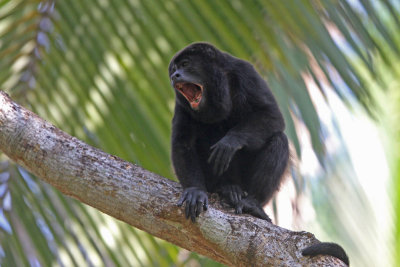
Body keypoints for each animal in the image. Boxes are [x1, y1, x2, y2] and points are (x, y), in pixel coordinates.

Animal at [170, 43, 350, 266]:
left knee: (279, 140)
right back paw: (226, 188)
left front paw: (231, 141)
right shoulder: (181, 105)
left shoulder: (246, 73)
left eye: (186, 64)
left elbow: (272, 115)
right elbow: (182, 143)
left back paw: (251, 203)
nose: (174, 76)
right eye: (173, 69)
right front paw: (195, 190)